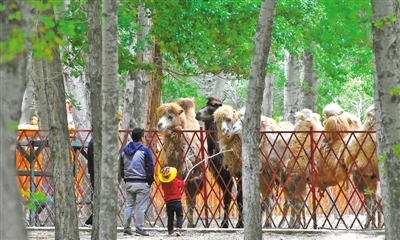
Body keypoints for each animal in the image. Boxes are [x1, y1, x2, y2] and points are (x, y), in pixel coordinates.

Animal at [156, 97, 205, 227]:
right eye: (160, 116)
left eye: (170, 116)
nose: (159, 124)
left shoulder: (188, 175)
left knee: (191, 198)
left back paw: (191, 223)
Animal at [194, 96, 234, 228]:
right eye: (204, 106)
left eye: (212, 109)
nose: (198, 114)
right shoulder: (221, 174)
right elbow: (227, 197)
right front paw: (224, 224)